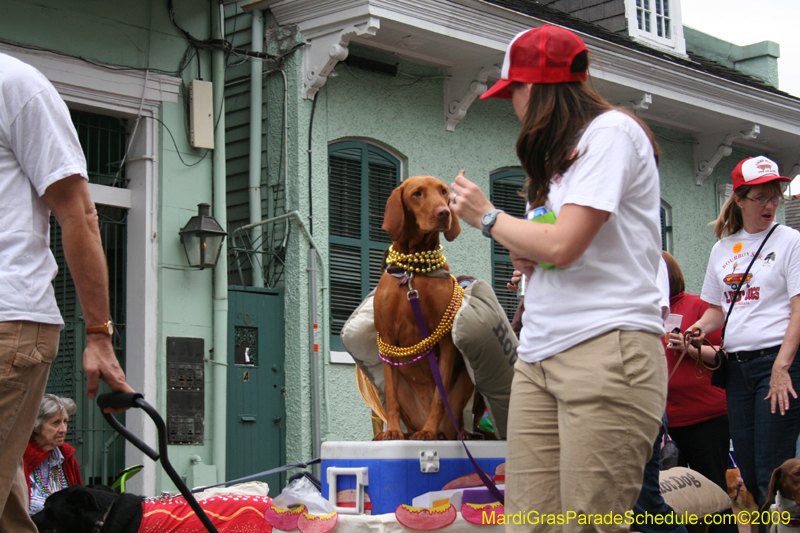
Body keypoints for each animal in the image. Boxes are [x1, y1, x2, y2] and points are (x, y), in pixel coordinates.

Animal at [372, 177, 472, 438]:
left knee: (453, 421)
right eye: (417, 193)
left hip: (465, 384)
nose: (444, 212)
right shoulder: (387, 339)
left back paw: (443, 432)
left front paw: (428, 431)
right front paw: (392, 430)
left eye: (444, 191)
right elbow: (391, 397)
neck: (412, 272)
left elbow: (439, 396)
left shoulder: (445, 342)